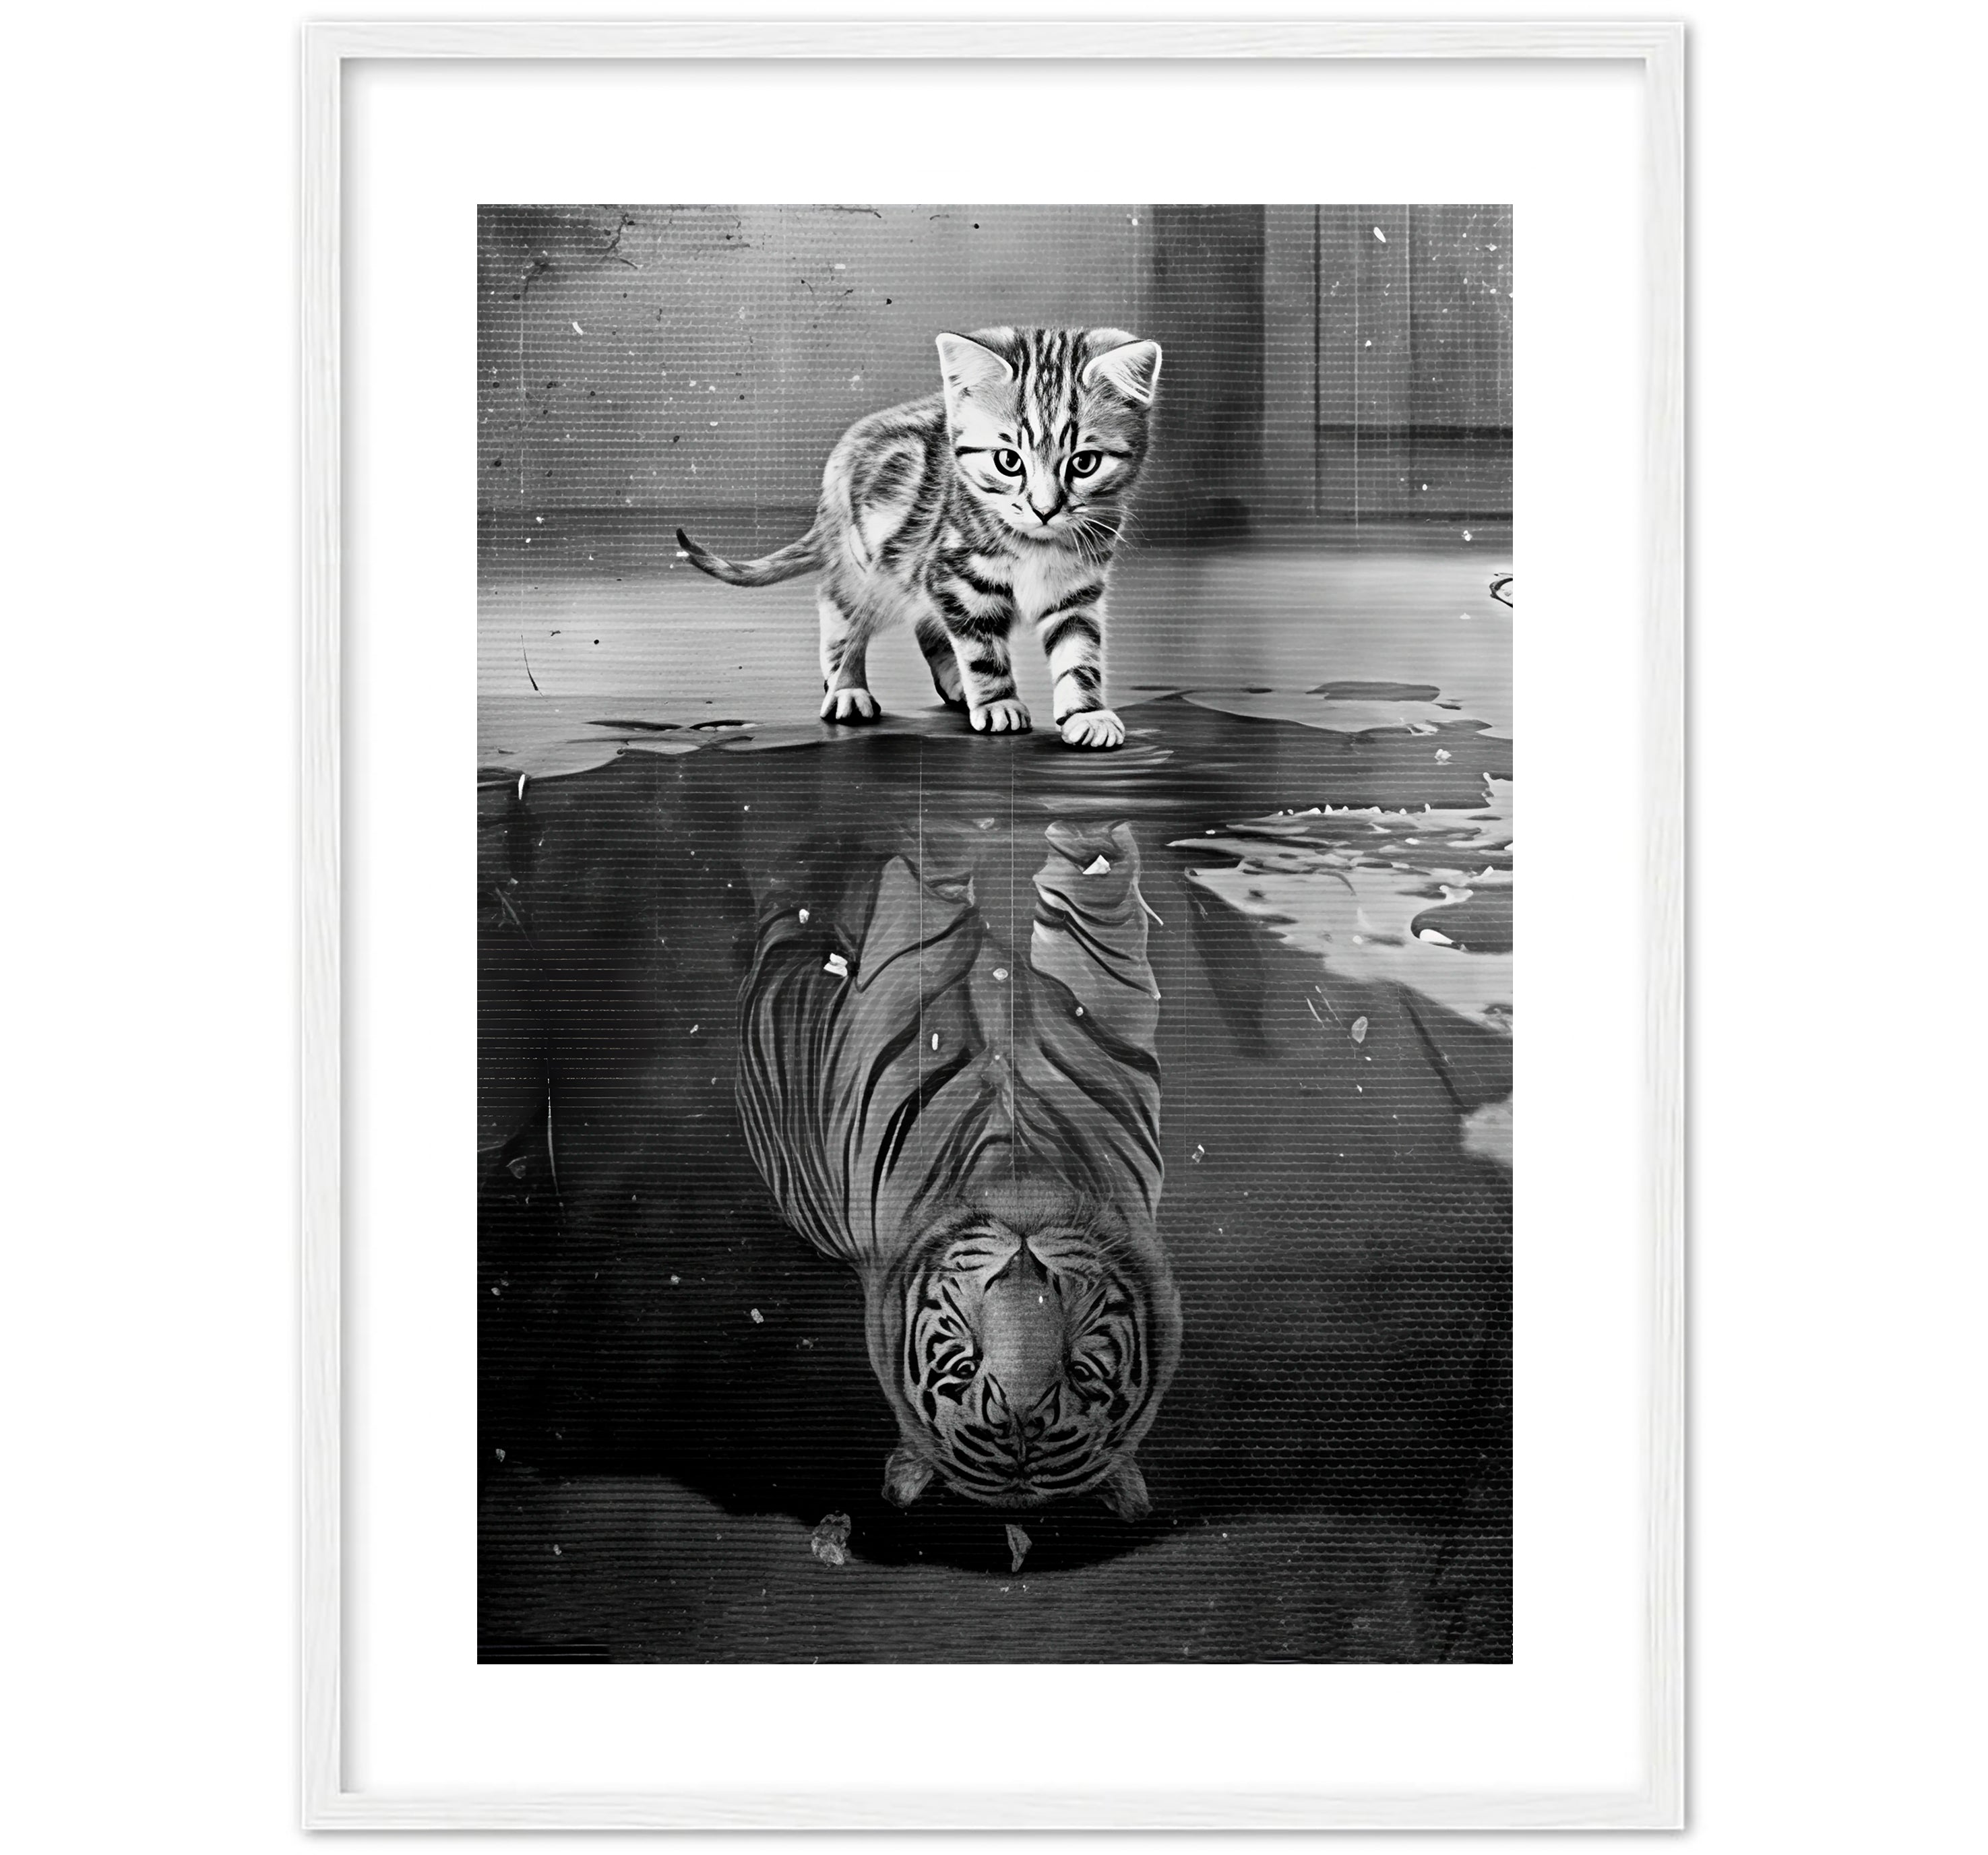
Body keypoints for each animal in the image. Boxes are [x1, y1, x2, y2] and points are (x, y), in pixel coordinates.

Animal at [677, 325, 1162, 750]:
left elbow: (1079, 654)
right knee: (839, 608)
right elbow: (982, 649)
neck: (1036, 545)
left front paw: (1086, 713)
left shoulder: (1075, 590)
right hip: (872, 567)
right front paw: (999, 701)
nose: (1045, 510)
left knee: (926, 625)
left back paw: (953, 683)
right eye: (1009, 461)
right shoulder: (953, 573)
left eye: (1084, 463)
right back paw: (846, 687)